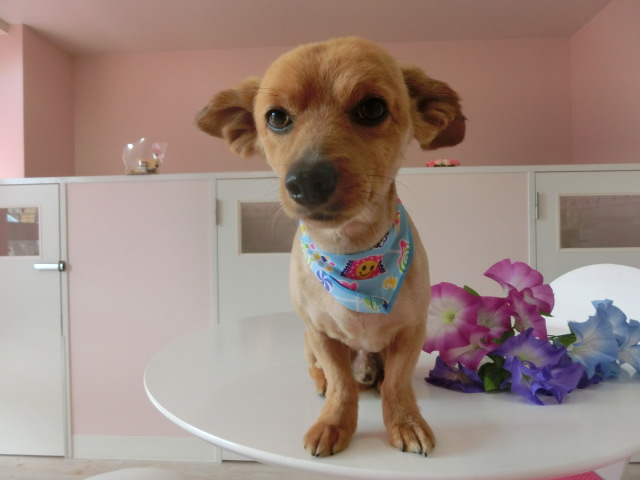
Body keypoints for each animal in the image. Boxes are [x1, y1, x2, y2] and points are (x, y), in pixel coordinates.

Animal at [196, 36, 465, 457]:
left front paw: (405, 421)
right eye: (276, 117)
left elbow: (397, 382)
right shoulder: (321, 334)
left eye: (372, 108)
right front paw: (335, 422)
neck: (351, 252)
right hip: (307, 342)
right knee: (320, 371)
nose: (306, 180)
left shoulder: (411, 331)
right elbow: (341, 382)